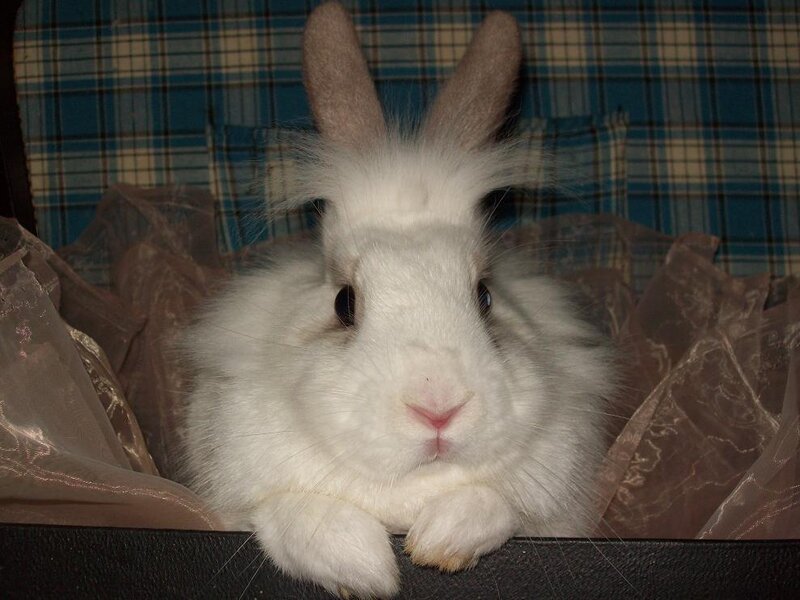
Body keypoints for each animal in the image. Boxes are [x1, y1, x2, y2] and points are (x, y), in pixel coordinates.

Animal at [181, 2, 615, 597]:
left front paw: (437, 542)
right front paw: (368, 570)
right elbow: (297, 518)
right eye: (344, 303)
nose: (438, 408)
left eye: (484, 296)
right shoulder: (246, 495)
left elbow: (496, 505)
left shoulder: (547, 503)